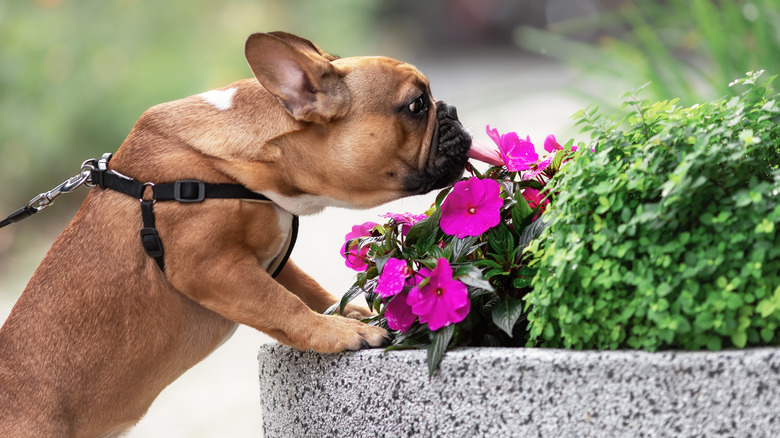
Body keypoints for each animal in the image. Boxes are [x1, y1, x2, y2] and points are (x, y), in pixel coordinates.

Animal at [0, 31, 470, 438]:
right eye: (416, 105)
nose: (452, 110)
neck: (242, 167)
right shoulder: (212, 267)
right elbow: (281, 305)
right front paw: (339, 332)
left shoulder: (267, 256)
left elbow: (304, 288)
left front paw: (345, 313)